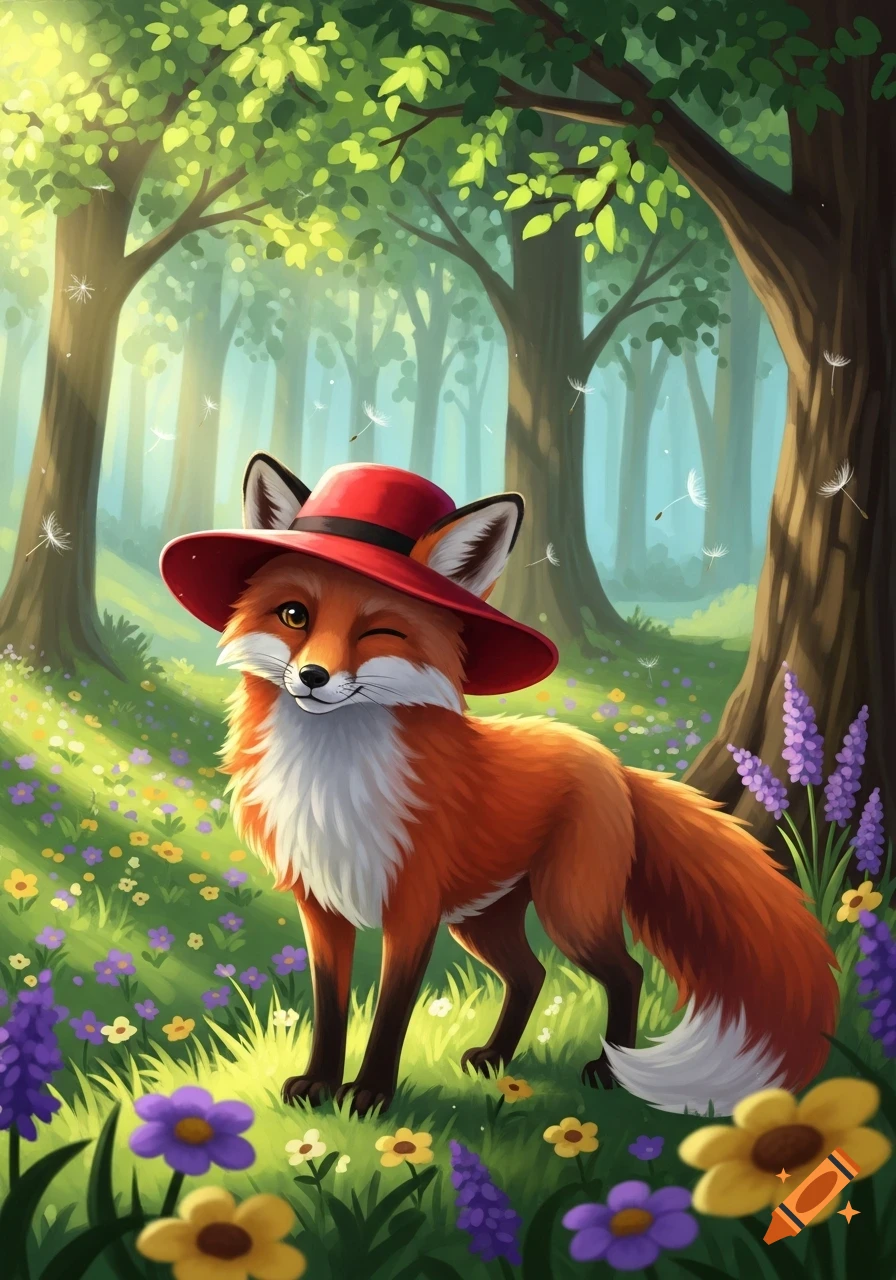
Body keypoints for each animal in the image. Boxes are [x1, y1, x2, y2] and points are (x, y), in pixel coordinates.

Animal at [163, 453, 839, 1119]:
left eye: (378, 633)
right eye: (294, 616)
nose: (311, 676)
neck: (333, 778)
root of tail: (614, 765)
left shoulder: (413, 909)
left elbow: (391, 1012)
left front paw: (371, 1096)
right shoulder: (322, 907)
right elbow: (330, 1007)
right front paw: (319, 1085)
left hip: (569, 910)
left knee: (625, 972)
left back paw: (608, 1069)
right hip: (482, 920)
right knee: (531, 976)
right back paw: (496, 1056)